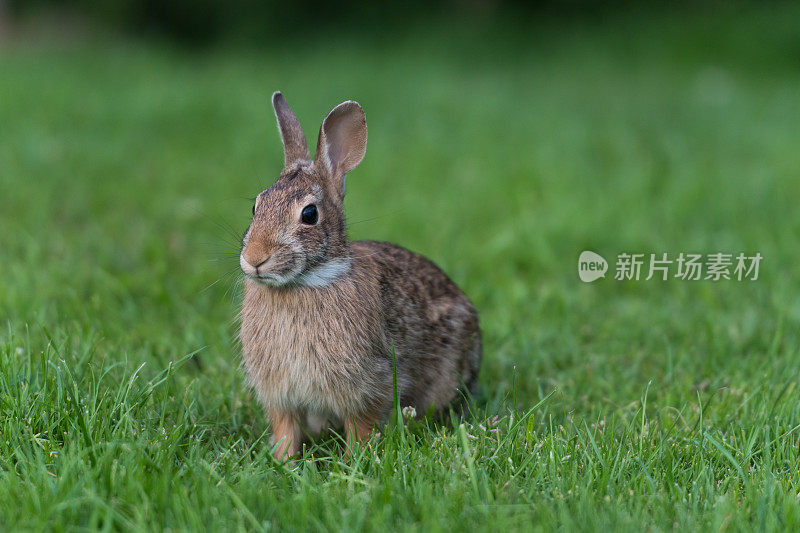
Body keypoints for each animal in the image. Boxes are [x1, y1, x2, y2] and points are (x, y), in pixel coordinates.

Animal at [238, 91, 482, 458]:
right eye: (256, 206)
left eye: (309, 214)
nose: (255, 259)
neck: (305, 282)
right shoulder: (279, 394)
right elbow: (285, 430)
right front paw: (283, 461)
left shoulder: (367, 384)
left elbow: (360, 427)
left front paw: (355, 459)